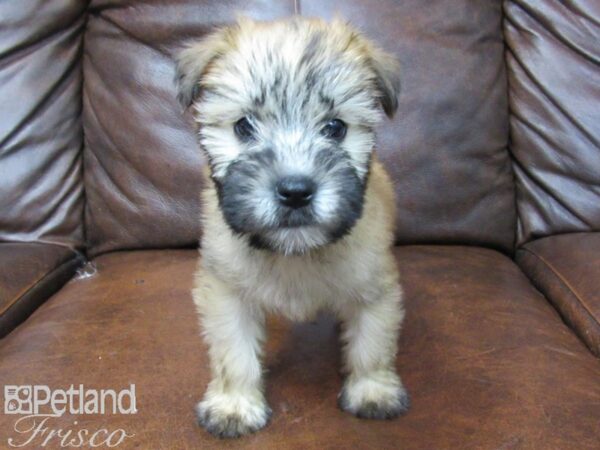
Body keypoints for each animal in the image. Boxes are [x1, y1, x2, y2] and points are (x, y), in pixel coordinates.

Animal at [175, 15, 408, 438]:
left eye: (335, 127)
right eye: (244, 126)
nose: (296, 192)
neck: (295, 253)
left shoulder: (376, 290)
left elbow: (372, 346)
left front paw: (372, 391)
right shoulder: (226, 293)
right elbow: (234, 353)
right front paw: (235, 404)